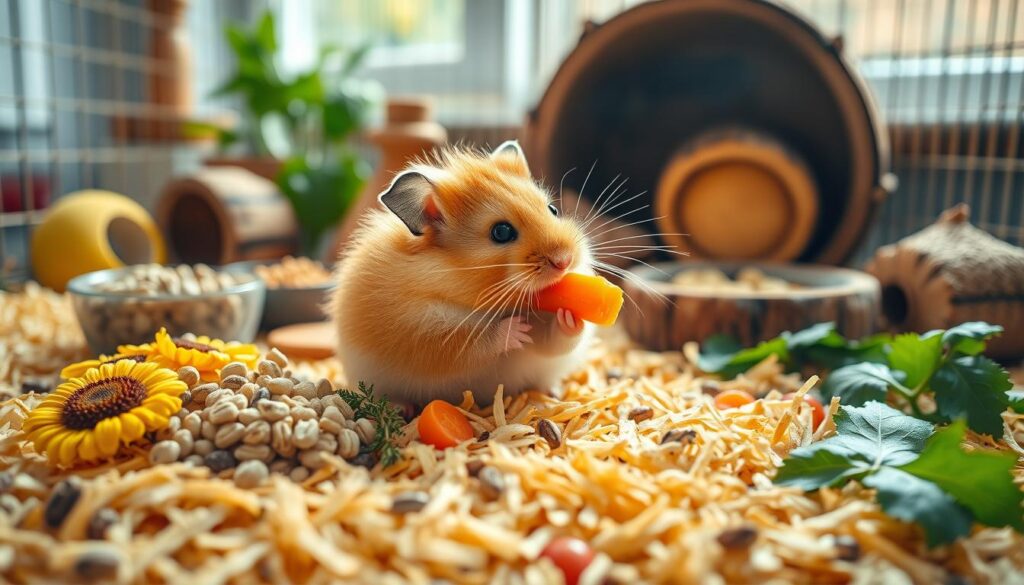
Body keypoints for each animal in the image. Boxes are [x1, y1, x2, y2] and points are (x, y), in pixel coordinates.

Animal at [331, 141, 595, 405]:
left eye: (552, 209)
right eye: (501, 232)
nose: (565, 261)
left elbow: (554, 341)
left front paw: (570, 316)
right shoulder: (419, 332)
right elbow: (470, 343)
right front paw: (516, 329)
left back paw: (553, 393)